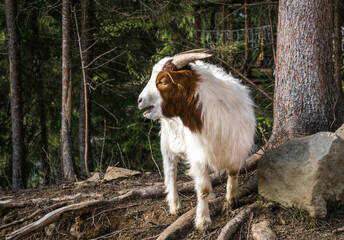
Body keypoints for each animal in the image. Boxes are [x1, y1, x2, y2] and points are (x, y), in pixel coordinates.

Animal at [137, 49, 255, 232]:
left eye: (162, 81)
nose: (140, 100)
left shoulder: (236, 148)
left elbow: (233, 173)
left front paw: (232, 199)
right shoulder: (198, 155)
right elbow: (202, 189)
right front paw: (203, 222)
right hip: (168, 145)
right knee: (171, 173)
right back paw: (175, 206)